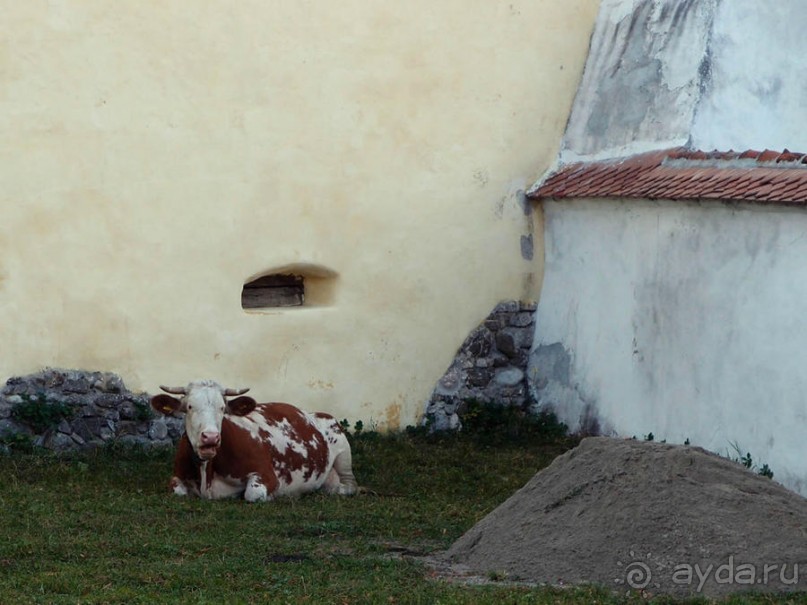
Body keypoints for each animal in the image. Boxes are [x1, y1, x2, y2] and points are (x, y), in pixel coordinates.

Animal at [150, 378, 358, 500]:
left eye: (222, 408)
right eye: (190, 406)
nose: (211, 437)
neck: (206, 473)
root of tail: (313, 413)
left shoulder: (267, 475)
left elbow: (253, 494)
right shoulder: (177, 476)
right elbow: (177, 491)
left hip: (343, 450)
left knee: (348, 484)